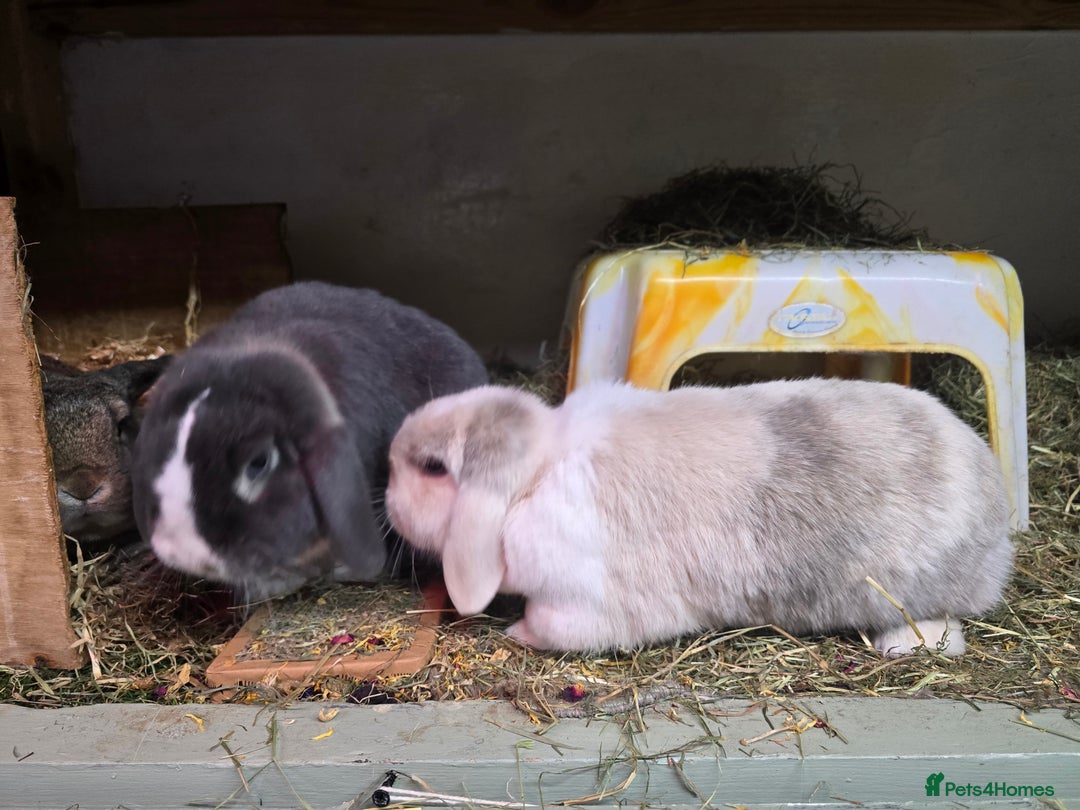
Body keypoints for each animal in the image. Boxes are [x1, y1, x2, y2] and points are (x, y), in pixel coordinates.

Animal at [385, 378, 1014, 656]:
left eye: (434, 468)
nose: (386, 493)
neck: (538, 475)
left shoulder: (585, 604)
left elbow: (554, 628)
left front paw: (516, 633)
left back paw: (906, 643)